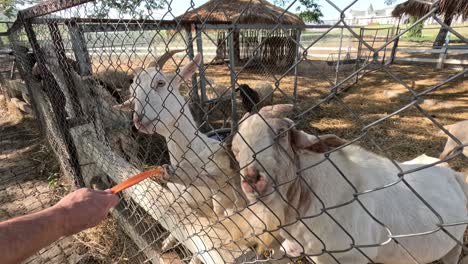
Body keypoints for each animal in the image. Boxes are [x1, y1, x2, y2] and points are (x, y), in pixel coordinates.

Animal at [231, 104, 468, 262]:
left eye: (280, 133)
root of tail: (450, 172)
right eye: (235, 149)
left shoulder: (354, 255)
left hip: (454, 244)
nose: (252, 179)